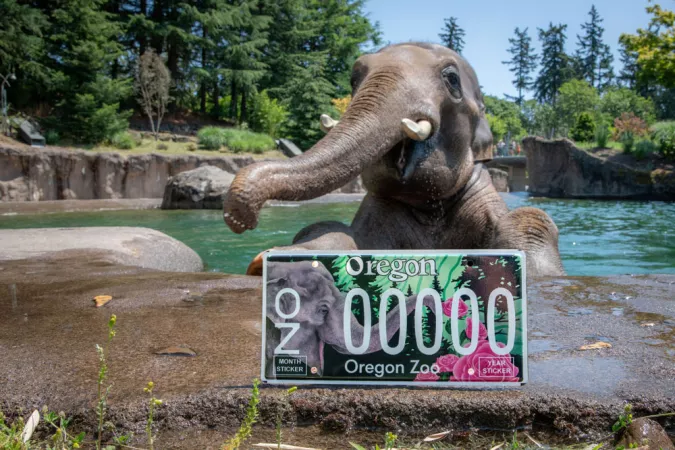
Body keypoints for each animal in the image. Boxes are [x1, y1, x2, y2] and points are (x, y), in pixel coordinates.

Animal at [223, 41, 564, 278]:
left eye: (452, 79)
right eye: (354, 78)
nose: (240, 220)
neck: (430, 209)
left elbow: (528, 223)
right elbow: (335, 232)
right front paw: (268, 260)